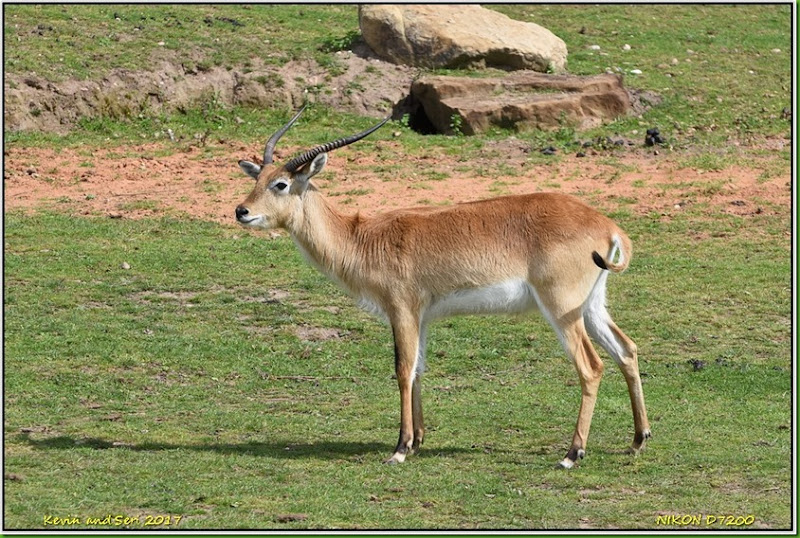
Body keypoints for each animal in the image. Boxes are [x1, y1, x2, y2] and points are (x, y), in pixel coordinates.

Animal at [233, 108, 648, 464]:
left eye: (281, 183)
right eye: (257, 180)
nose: (241, 211)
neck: (362, 239)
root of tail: (607, 225)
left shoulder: (401, 310)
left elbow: (402, 369)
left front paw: (400, 449)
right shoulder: (422, 317)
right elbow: (418, 368)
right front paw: (417, 441)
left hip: (561, 309)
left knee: (591, 366)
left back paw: (572, 454)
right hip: (591, 306)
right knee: (626, 350)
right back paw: (638, 440)